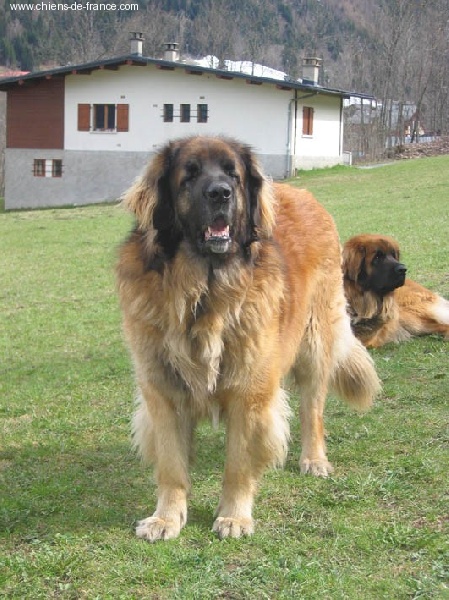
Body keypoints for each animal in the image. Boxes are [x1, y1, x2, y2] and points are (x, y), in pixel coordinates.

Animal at [114, 138, 378, 540]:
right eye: (189, 175)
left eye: (232, 175)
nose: (220, 193)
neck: (203, 291)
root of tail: (303, 193)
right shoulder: (163, 390)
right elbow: (172, 464)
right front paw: (166, 518)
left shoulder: (249, 390)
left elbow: (238, 462)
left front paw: (234, 517)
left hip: (315, 345)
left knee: (312, 410)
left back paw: (314, 459)